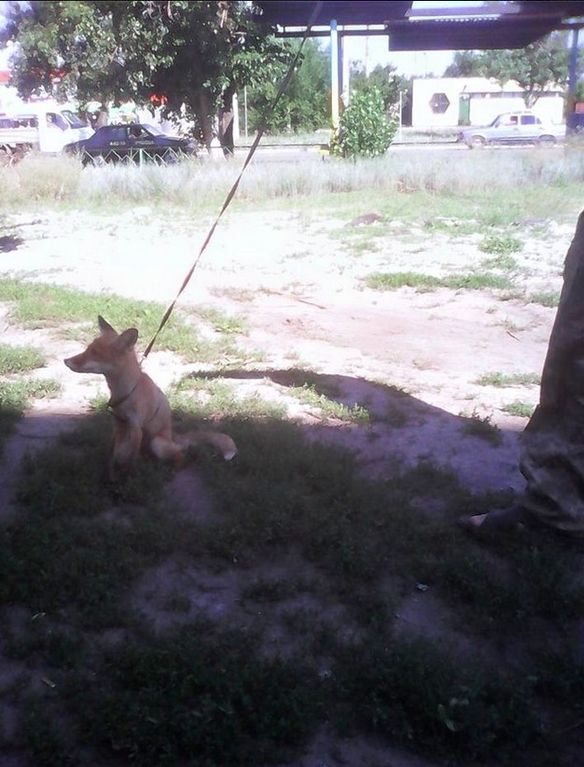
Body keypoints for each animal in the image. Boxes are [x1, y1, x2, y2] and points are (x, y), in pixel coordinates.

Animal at [64, 316, 237, 476]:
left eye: (95, 354)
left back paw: (173, 469)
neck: (127, 391)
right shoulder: (118, 425)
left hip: (157, 443)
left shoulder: (135, 428)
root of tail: (172, 436)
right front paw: (111, 475)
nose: (65, 360)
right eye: (87, 349)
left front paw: (127, 478)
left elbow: (131, 460)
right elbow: (113, 455)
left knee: (180, 456)